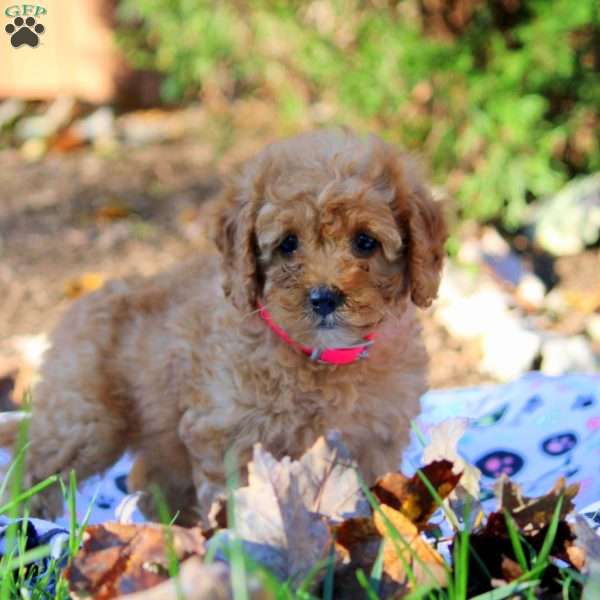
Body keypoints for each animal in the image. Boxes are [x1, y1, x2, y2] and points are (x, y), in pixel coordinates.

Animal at [3, 129, 446, 524]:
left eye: (365, 242)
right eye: (288, 244)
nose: (323, 298)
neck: (321, 359)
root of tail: (82, 302)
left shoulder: (375, 439)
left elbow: (375, 496)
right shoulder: (228, 433)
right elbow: (239, 498)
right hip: (85, 422)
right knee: (35, 468)